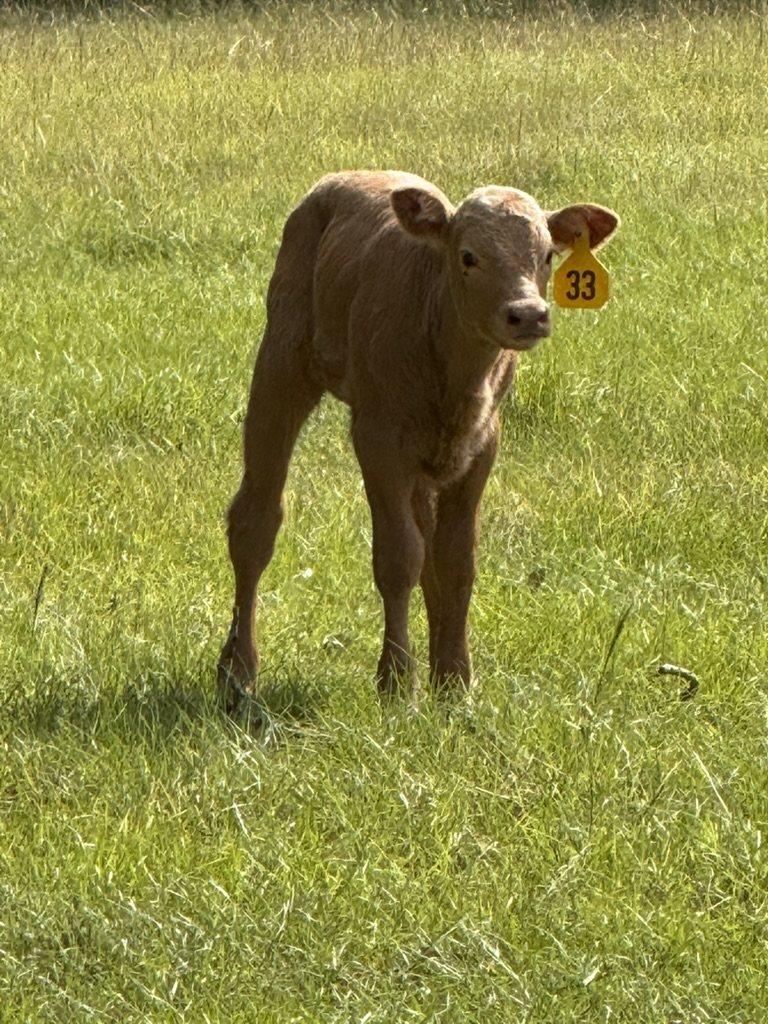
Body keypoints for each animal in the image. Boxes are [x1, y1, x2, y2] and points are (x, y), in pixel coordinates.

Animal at [218, 170, 618, 709]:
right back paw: (238, 669)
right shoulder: (378, 437)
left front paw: (453, 683)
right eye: (468, 256)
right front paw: (395, 683)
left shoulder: (481, 444)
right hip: (282, 359)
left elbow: (455, 560)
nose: (528, 314)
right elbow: (398, 556)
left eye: (547, 256)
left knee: (429, 542)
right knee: (256, 519)